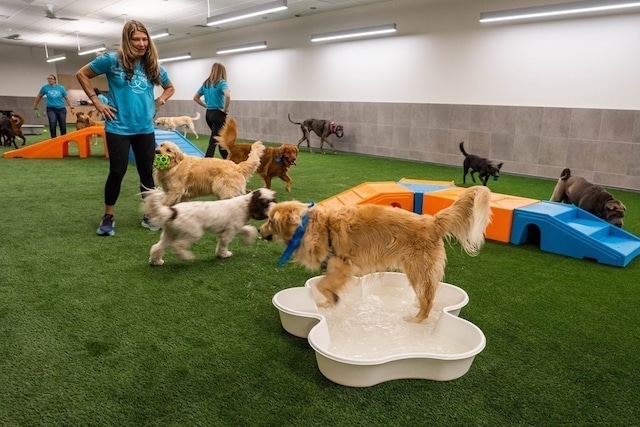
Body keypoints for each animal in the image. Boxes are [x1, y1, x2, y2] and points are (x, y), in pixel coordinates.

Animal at [145, 188, 276, 266]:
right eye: (266, 203)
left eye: (274, 200)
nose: (275, 209)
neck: (246, 204)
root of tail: (173, 211)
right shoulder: (228, 233)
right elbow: (223, 244)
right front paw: (224, 254)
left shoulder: (234, 228)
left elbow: (249, 230)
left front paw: (247, 240)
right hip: (194, 233)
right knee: (178, 245)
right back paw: (186, 257)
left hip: (170, 233)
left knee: (157, 247)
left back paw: (156, 261)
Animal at [258, 186, 490, 322]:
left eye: (269, 220)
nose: (259, 230)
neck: (313, 226)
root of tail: (432, 222)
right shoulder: (337, 269)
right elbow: (325, 286)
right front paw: (328, 303)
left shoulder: (342, 266)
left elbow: (321, 285)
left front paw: (331, 300)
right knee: (427, 295)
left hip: (417, 270)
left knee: (428, 301)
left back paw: (416, 319)